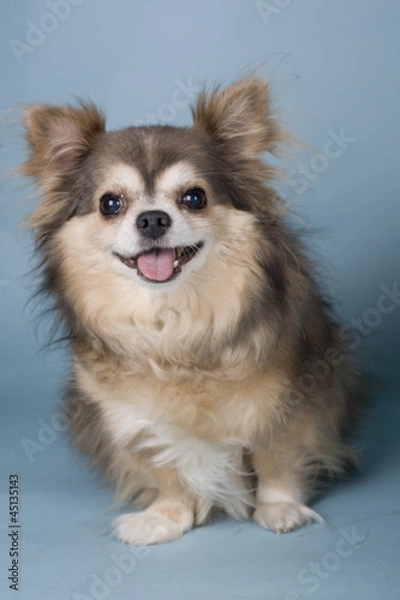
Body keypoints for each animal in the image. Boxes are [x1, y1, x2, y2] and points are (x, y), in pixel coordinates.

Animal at [21, 77, 360, 548]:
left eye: (194, 197)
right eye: (110, 204)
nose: (152, 219)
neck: (173, 322)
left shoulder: (290, 399)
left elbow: (277, 456)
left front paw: (279, 507)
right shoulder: (138, 417)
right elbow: (166, 467)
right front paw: (167, 516)